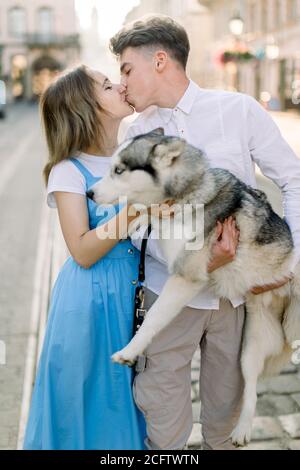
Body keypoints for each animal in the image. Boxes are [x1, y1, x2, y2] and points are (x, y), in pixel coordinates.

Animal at [87, 129, 300, 448]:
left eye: (119, 170)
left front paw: (131, 349)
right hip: (250, 347)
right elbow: (142, 215)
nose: (89, 193)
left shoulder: (187, 276)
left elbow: (153, 319)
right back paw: (242, 429)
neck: (186, 194)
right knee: (250, 389)